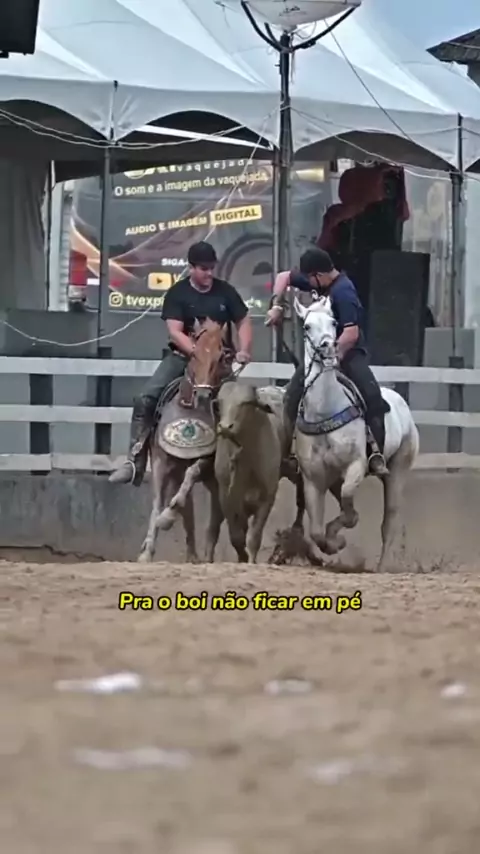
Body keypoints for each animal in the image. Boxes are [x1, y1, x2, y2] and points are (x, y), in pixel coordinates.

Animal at [137, 318, 232, 564]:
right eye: (194, 353)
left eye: (222, 356)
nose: (203, 396)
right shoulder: (161, 463)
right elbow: (158, 502)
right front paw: (147, 550)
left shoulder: (206, 460)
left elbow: (192, 474)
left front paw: (167, 517)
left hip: (217, 481)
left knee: (214, 519)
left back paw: (204, 556)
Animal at [292, 295, 419, 572]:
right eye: (306, 326)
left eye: (333, 322)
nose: (328, 347)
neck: (326, 410)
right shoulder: (313, 478)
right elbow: (316, 530)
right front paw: (333, 543)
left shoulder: (356, 465)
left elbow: (349, 502)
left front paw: (339, 534)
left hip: (398, 470)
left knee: (389, 523)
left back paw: (381, 568)